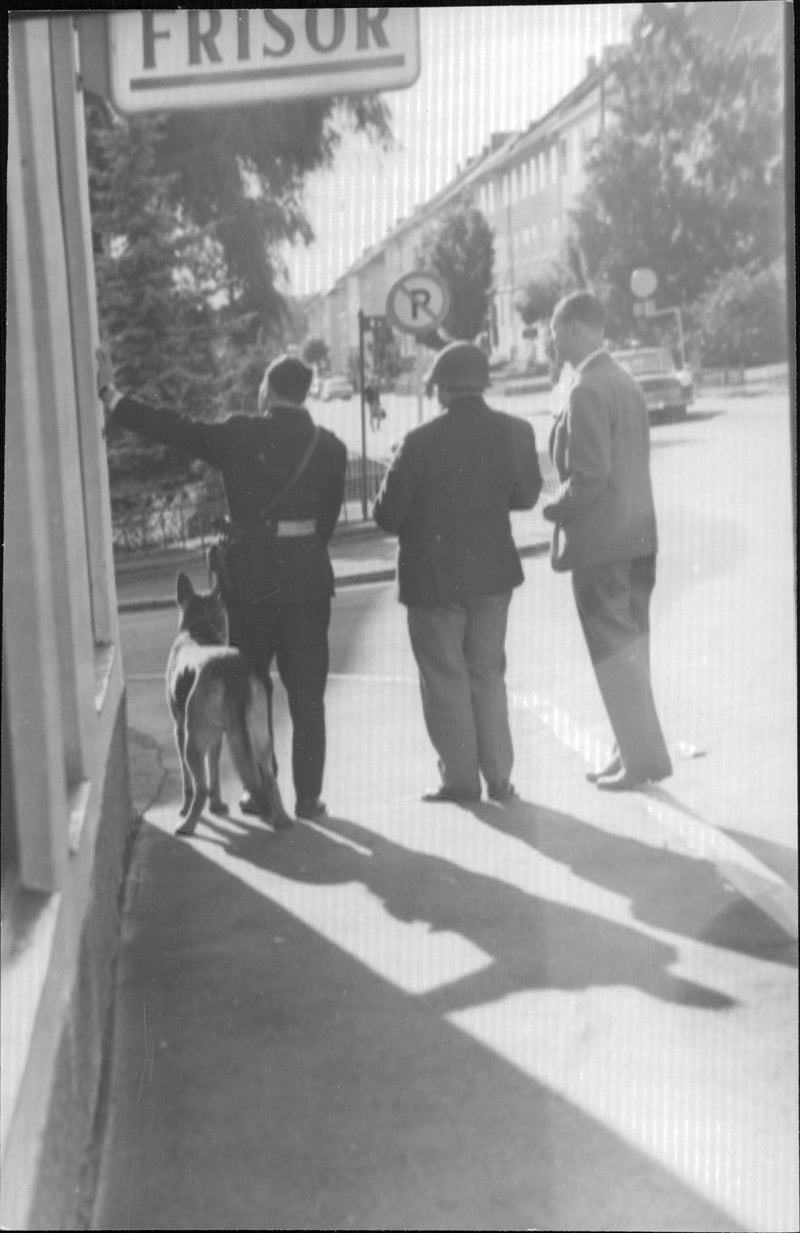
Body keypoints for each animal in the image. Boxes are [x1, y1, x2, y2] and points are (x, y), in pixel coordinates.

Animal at [166, 569, 292, 838]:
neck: (199, 629)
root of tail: (234, 671)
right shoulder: (218, 737)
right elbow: (215, 773)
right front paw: (218, 804)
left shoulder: (180, 731)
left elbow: (188, 781)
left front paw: (185, 808)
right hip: (259, 738)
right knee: (268, 779)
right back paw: (282, 819)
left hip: (192, 742)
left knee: (200, 787)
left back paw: (187, 825)